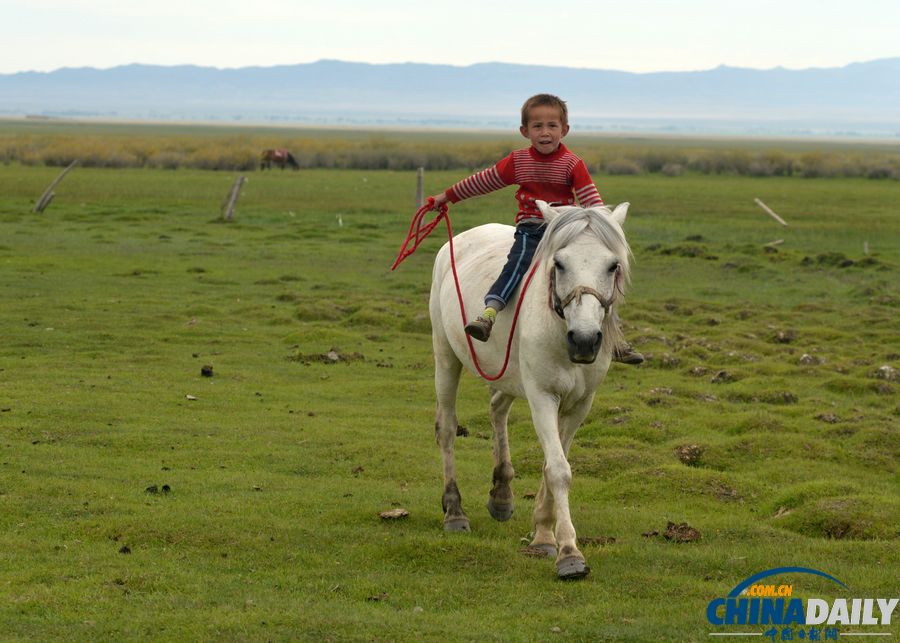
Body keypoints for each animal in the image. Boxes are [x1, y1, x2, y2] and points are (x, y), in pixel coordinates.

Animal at [430, 199, 632, 580]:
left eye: (613, 265)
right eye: (560, 263)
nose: (585, 340)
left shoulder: (580, 404)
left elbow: (555, 463)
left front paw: (543, 535)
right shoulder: (542, 397)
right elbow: (558, 469)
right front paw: (569, 554)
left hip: (507, 375)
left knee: (497, 409)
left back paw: (501, 496)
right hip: (446, 356)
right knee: (447, 429)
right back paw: (455, 512)